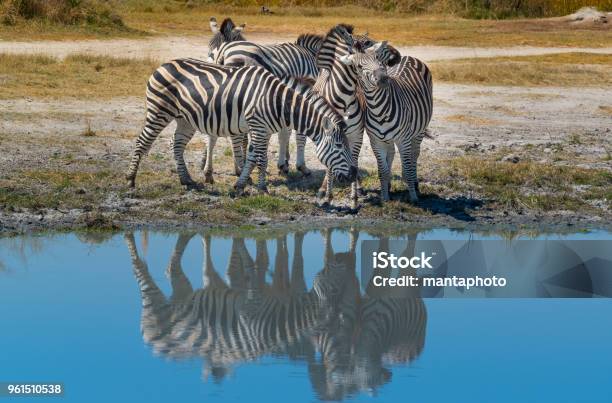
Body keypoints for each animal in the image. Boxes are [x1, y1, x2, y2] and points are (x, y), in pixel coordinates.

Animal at [123, 58, 354, 194]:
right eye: (339, 147)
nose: (352, 176)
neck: (277, 102)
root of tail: (163, 64)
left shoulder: (263, 130)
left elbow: (252, 157)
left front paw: (240, 186)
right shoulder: (258, 127)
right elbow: (262, 159)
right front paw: (262, 189)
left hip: (185, 119)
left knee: (176, 145)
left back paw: (186, 180)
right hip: (159, 111)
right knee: (142, 142)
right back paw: (131, 179)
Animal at [340, 41, 436, 204]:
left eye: (378, 59)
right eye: (359, 66)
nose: (383, 79)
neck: (379, 110)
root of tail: (409, 57)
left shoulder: (404, 139)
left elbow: (408, 167)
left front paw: (413, 197)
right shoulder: (376, 142)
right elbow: (382, 170)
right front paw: (385, 197)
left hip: (420, 130)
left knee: (414, 155)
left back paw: (415, 184)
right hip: (389, 139)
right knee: (391, 153)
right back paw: (391, 185)